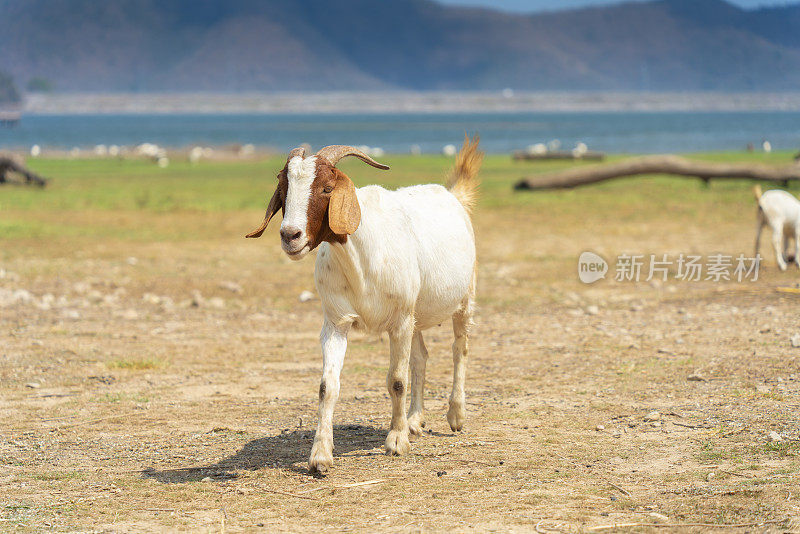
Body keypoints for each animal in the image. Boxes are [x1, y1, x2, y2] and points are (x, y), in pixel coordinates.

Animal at [247, 137, 482, 474]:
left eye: (327, 188)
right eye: (283, 185)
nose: (290, 236)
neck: (361, 257)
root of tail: (453, 195)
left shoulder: (399, 321)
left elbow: (396, 381)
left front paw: (396, 441)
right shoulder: (336, 323)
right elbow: (327, 385)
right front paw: (320, 455)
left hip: (463, 298)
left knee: (459, 349)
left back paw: (455, 415)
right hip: (415, 314)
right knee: (420, 357)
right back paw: (414, 420)